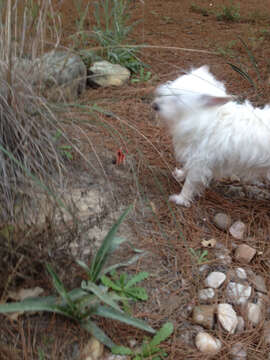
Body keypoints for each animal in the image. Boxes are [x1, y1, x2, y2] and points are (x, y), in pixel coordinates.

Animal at [153, 64, 270, 205]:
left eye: (178, 98)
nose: (155, 106)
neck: (208, 118)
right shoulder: (193, 156)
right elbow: (186, 168)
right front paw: (180, 175)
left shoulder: (200, 162)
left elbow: (189, 184)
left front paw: (181, 199)